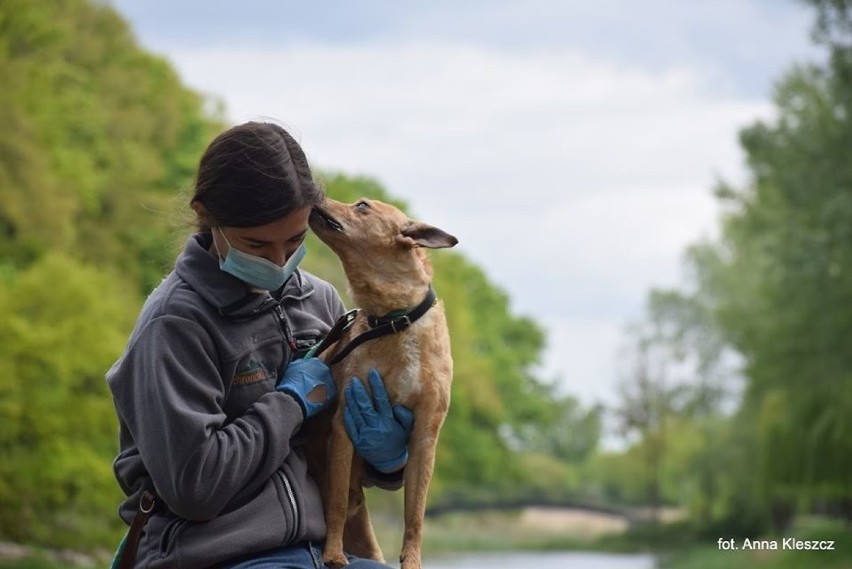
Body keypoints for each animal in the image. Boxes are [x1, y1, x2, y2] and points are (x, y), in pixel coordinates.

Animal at [308, 196, 460, 568]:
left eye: (362, 205)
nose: (315, 193)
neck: (394, 322)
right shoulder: (345, 425)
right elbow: (334, 503)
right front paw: (333, 555)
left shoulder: (424, 437)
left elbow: (415, 515)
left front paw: (412, 561)